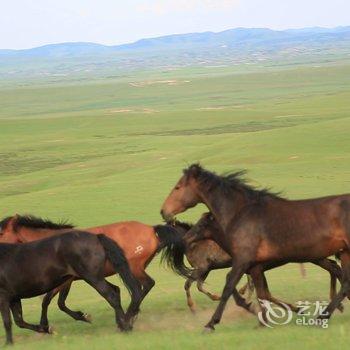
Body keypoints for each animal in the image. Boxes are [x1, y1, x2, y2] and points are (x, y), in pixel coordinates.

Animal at [0, 213, 189, 330]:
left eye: (1, 233)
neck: (50, 243)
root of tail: (151, 229)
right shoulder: (69, 280)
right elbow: (57, 302)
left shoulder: (66, 280)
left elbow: (50, 301)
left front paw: (47, 325)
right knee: (143, 288)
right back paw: (129, 316)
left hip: (134, 268)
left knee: (144, 286)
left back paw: (129, 317)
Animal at [0, 230, 142, 344]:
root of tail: (96, 237)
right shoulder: (14, 297)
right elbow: (19, 321)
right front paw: (46, 328)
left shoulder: (4, 297)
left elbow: (7, 321)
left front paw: (8, 343)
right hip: (95, 276)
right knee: (115, 290)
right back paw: (122, 325)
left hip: (92, 277)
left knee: (111, 295)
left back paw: (125, 327)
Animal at [162, 163, 350, 330]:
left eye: (178, 187)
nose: (163, 211)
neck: (241, 214)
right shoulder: (253, 267)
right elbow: (261, 293)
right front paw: (263, 320)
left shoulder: (242, 262)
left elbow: (229, 287)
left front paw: (211, 323)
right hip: (341, 253)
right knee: (342, 279)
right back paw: (325, 314)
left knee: (338, 274)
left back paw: (323, 315)